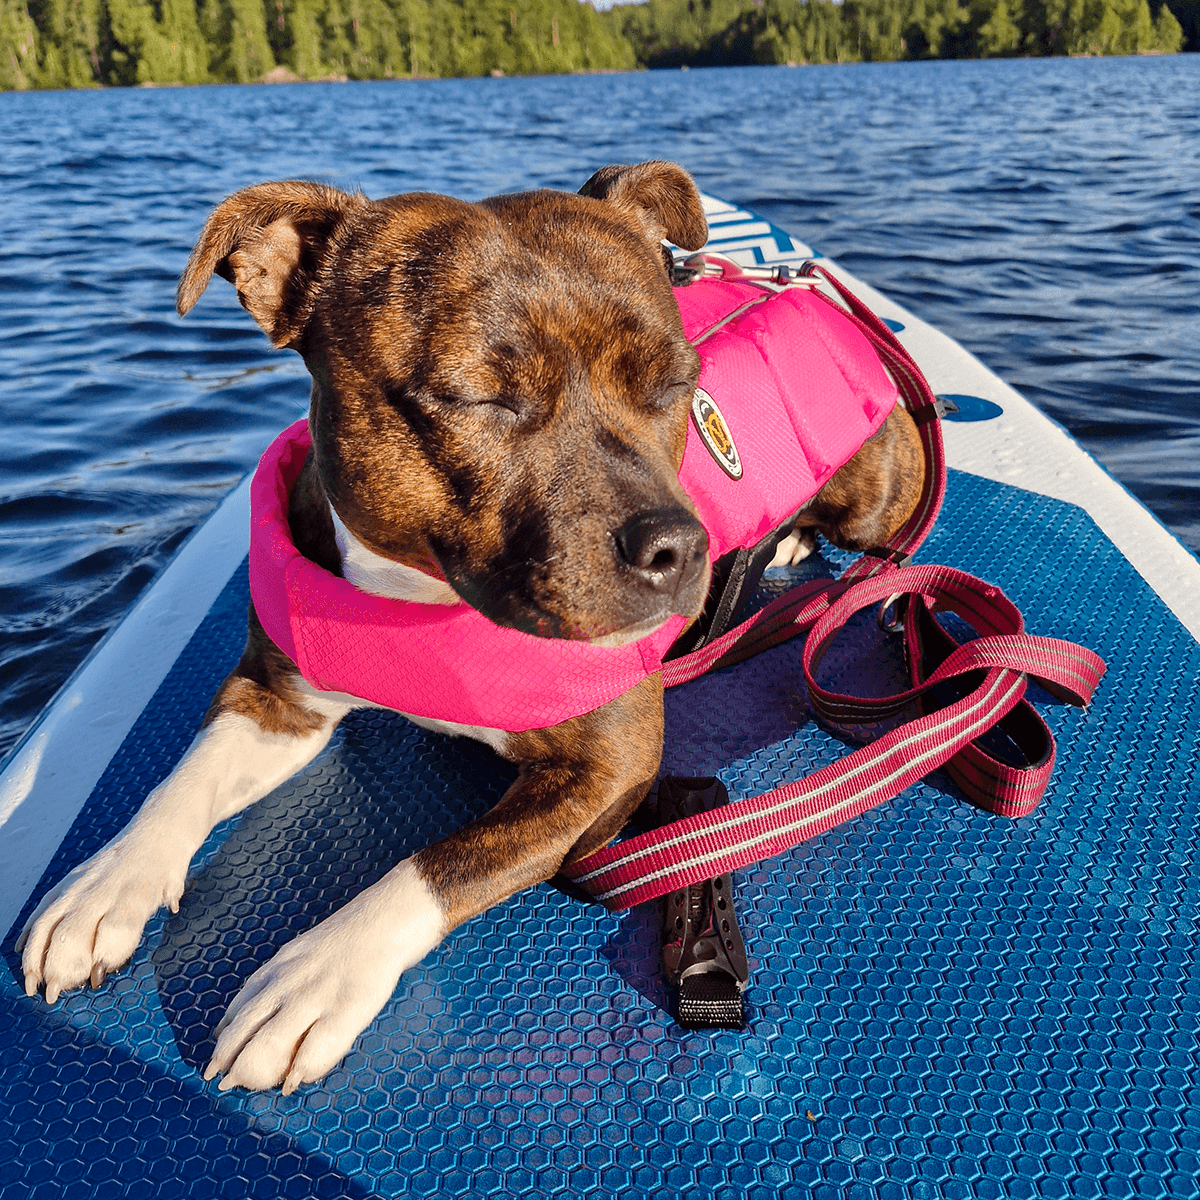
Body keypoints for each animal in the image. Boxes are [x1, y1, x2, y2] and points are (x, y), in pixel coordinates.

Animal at [16, 164, 916, 1094]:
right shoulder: (276, 699)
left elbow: (438, 862)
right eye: (481, 398)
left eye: (675, 386)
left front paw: (316, 975)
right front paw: (106, 884)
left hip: (873, 501)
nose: (678, 546)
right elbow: (180, 782)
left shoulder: (607, 769)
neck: (419, 597)